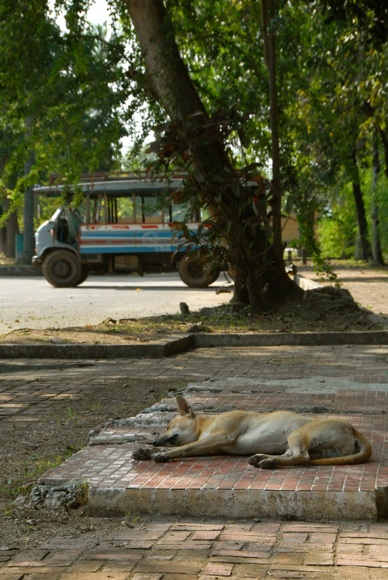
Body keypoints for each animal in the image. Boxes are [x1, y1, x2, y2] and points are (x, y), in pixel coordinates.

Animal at [134, 396, 372, 468]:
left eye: (168, 425)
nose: (154, 442)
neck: (205, 424)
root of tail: (354, 429)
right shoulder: (211, 445)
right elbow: (187, 448)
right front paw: (146, 451)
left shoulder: (221, 436)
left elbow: (182, 447)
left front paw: (162, 454)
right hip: (300, 443)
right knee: (294, 456)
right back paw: (264, 458)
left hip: (297, 435)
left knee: (302, 458)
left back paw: (269, 462)